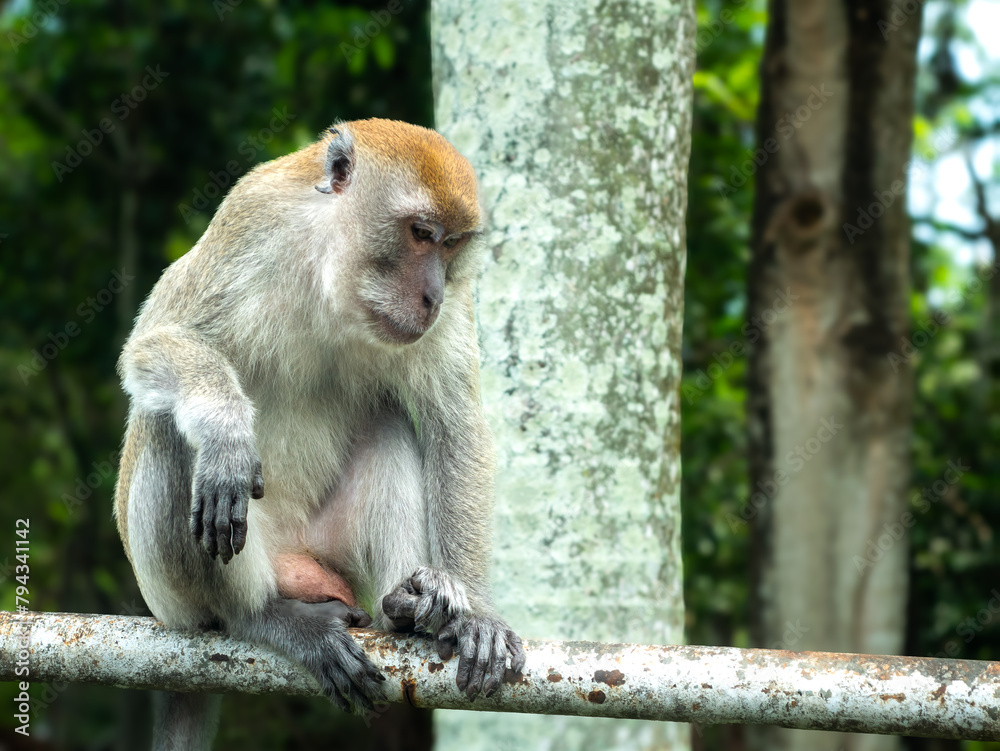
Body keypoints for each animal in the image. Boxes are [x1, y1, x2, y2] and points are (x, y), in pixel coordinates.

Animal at [113, 119, 526, 750]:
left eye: (451, 245)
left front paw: (474, 612)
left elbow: (453, 428)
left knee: (388, 420)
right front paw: (227, 429)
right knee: (171, 426)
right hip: (175, 595)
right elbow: (154, 342)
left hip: (330, 551)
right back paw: (260, 617)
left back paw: (406, 608)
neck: (334, 273)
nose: (432, 296)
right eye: (420, 234)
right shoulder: (252, 222)